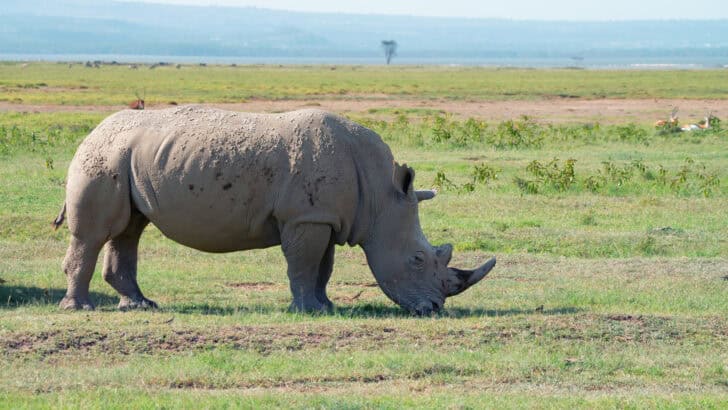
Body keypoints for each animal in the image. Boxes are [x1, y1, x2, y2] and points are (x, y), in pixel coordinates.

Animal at [53, 106, 495, 315]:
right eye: (418, 259)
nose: (434, 309)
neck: (380, 196)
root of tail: (92, 131)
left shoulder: (323, 216)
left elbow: (323, 266)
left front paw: (325, 307)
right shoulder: (305, 217)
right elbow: (303, 264)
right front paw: (308, 311)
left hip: (128, 157)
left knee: (130, 228)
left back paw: (141, 305)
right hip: (103, 157)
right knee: (96, 234)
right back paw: (81, 309)